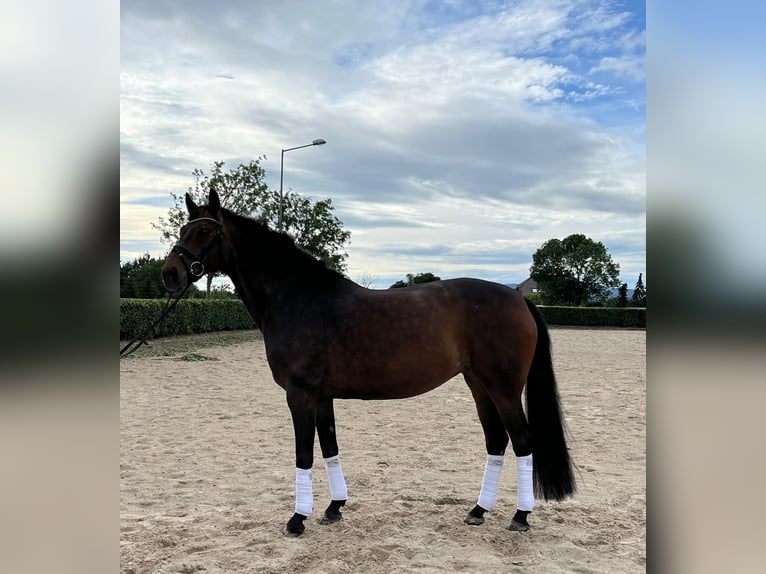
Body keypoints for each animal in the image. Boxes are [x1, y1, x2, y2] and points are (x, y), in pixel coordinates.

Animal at [162, 191, 576, 536]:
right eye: (183, 228)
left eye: (204, 230)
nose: (170, 273)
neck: (300, 299)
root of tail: (517, 297)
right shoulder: (322, 396)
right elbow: (329, 447)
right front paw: (334, 508)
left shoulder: (300, 395)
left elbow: (304, 453)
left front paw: (297, 519)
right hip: (478, 384)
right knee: (496, 440)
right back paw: (478, 511)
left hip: (503, 387)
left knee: (522, 441)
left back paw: (520, 516)